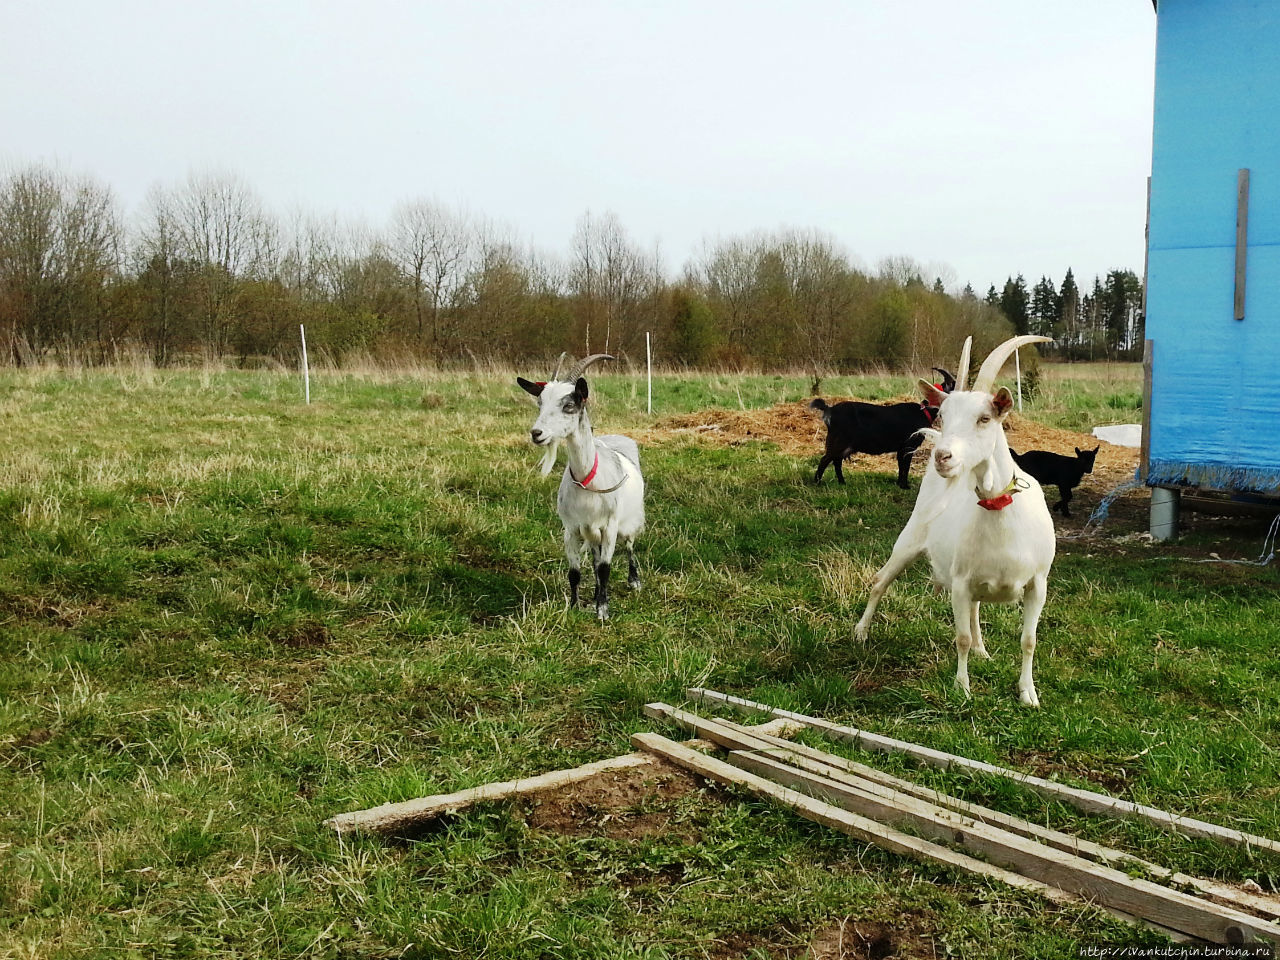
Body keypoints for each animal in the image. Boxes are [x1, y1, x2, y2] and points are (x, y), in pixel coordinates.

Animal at [514, 355, 645, 624]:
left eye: (569, 405)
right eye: (540, 403)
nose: (536, 434)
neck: (588, 478)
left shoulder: (610, 526)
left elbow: (605, 569)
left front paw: (603, 611)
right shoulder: (572, 528)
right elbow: (575, 571)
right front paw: (574, 607)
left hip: (630, 521)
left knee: (629, 546)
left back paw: (634, 581)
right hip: (592, 533)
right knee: (594, 559)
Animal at [808, 366, 952, 488]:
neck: (924, 411)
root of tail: (829, 409)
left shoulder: (901, 449)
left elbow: (901, 466)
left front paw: (899, 484)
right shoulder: (908, 446)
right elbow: (905, 466)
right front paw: (905, 486)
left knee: (836, 461)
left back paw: (842, 482)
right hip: (838, 441)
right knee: (825, 460)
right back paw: (817, 483)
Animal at [855, 335, 1054, 706]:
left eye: (985, 418)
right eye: (943, 416)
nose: (942, 457)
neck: (1001, 511)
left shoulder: (1038, 584)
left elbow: (1029, 641)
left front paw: (1028, 693)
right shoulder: (960, 582)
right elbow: (959, 638)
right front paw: (962, 689)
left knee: (975, 612)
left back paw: (982, 651)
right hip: (910, 539)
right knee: (879, 581)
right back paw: (860, 632)